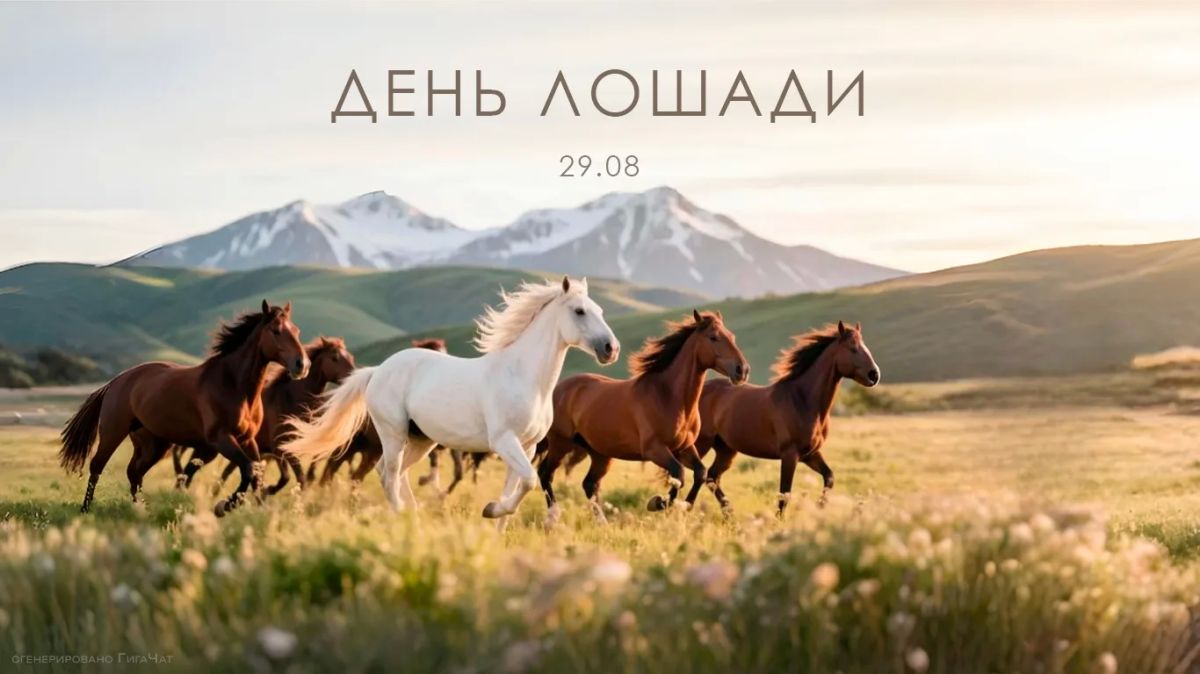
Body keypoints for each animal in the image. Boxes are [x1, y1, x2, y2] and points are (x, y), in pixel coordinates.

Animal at [59, 301, 309, 515]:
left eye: (297, 331)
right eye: (275, 331)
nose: (302, 364)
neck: (232, 384)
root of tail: (115, 381)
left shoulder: (247, 439)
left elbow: (256, 472)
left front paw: (252, 508)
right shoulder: (220, 438)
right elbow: (247, 469)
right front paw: (224, 506)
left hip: (154, 445)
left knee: (134, 472)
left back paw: (141, 509)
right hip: (113, 433)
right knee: (97, 467)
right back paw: (86, 510)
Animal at [283, 276, 619, 528]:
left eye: (600, 310)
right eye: (579, 311)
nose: (610, 349)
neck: (523, 376)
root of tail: (378, 370)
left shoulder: (528, 447)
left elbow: (515, 490)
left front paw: (495, 524)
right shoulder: (504, 442)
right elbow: (529, 481)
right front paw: (490, 510)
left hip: (421, 440)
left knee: (392, 473)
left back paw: (413, 516)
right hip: (393, 434)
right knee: (389, 476)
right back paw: (406, 521)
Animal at [536, 310, 749, 526]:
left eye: (731, 336)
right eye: (713, 337)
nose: (742, 370)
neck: (668, 397)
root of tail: (558, 389)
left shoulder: (685, 447)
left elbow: (700, 473)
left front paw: (684, 505)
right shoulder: (654, 449)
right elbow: (679, 474)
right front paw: (658, 503)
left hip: (600, 453)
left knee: (589, 484)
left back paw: (602, 523)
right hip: (560, 443)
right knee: (545, 474)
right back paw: (553, 518)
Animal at [690, 321, 879, 517]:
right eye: (852, 348)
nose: (874, 375)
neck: (803, 400)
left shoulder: (810, 454)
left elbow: (829, 477)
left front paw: (820, 507)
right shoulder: (789, 455)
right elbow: (785, 493)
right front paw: (779, 520)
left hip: (726, 450)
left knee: (712, 477)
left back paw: (728, 513)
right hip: (701, 443)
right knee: (697, 473)